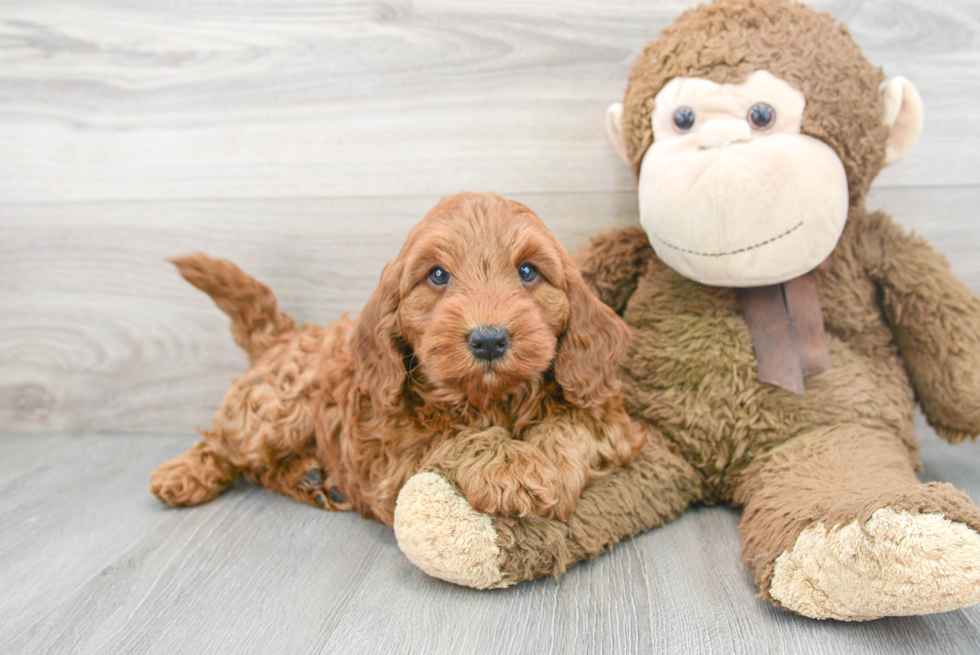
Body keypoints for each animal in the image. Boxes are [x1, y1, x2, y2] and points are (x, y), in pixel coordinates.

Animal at [149, 192, 648, 524]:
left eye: (528, 271)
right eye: (438, 275)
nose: (489, 340)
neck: (491, 400)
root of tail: (286, 334)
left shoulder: (606, 416)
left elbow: (572, 425)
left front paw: (549, 465)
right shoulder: (391, 450)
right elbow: (455, 436)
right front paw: (512, 465)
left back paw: (313, 477)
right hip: (278, 406)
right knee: (226, 442)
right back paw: (184, 474)